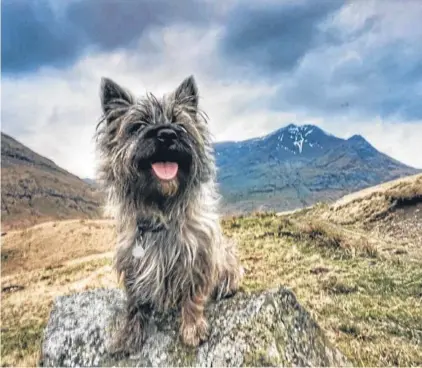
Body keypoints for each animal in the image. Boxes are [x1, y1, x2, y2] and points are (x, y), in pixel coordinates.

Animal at [94, 75, 242, 350]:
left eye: (178, 123)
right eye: (138, 125)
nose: (166, 134)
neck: (160, 210)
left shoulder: (197, 255)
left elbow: (193, 294)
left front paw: (192, 327)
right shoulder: (131, 263)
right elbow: (135, 302)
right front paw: (129, 333)